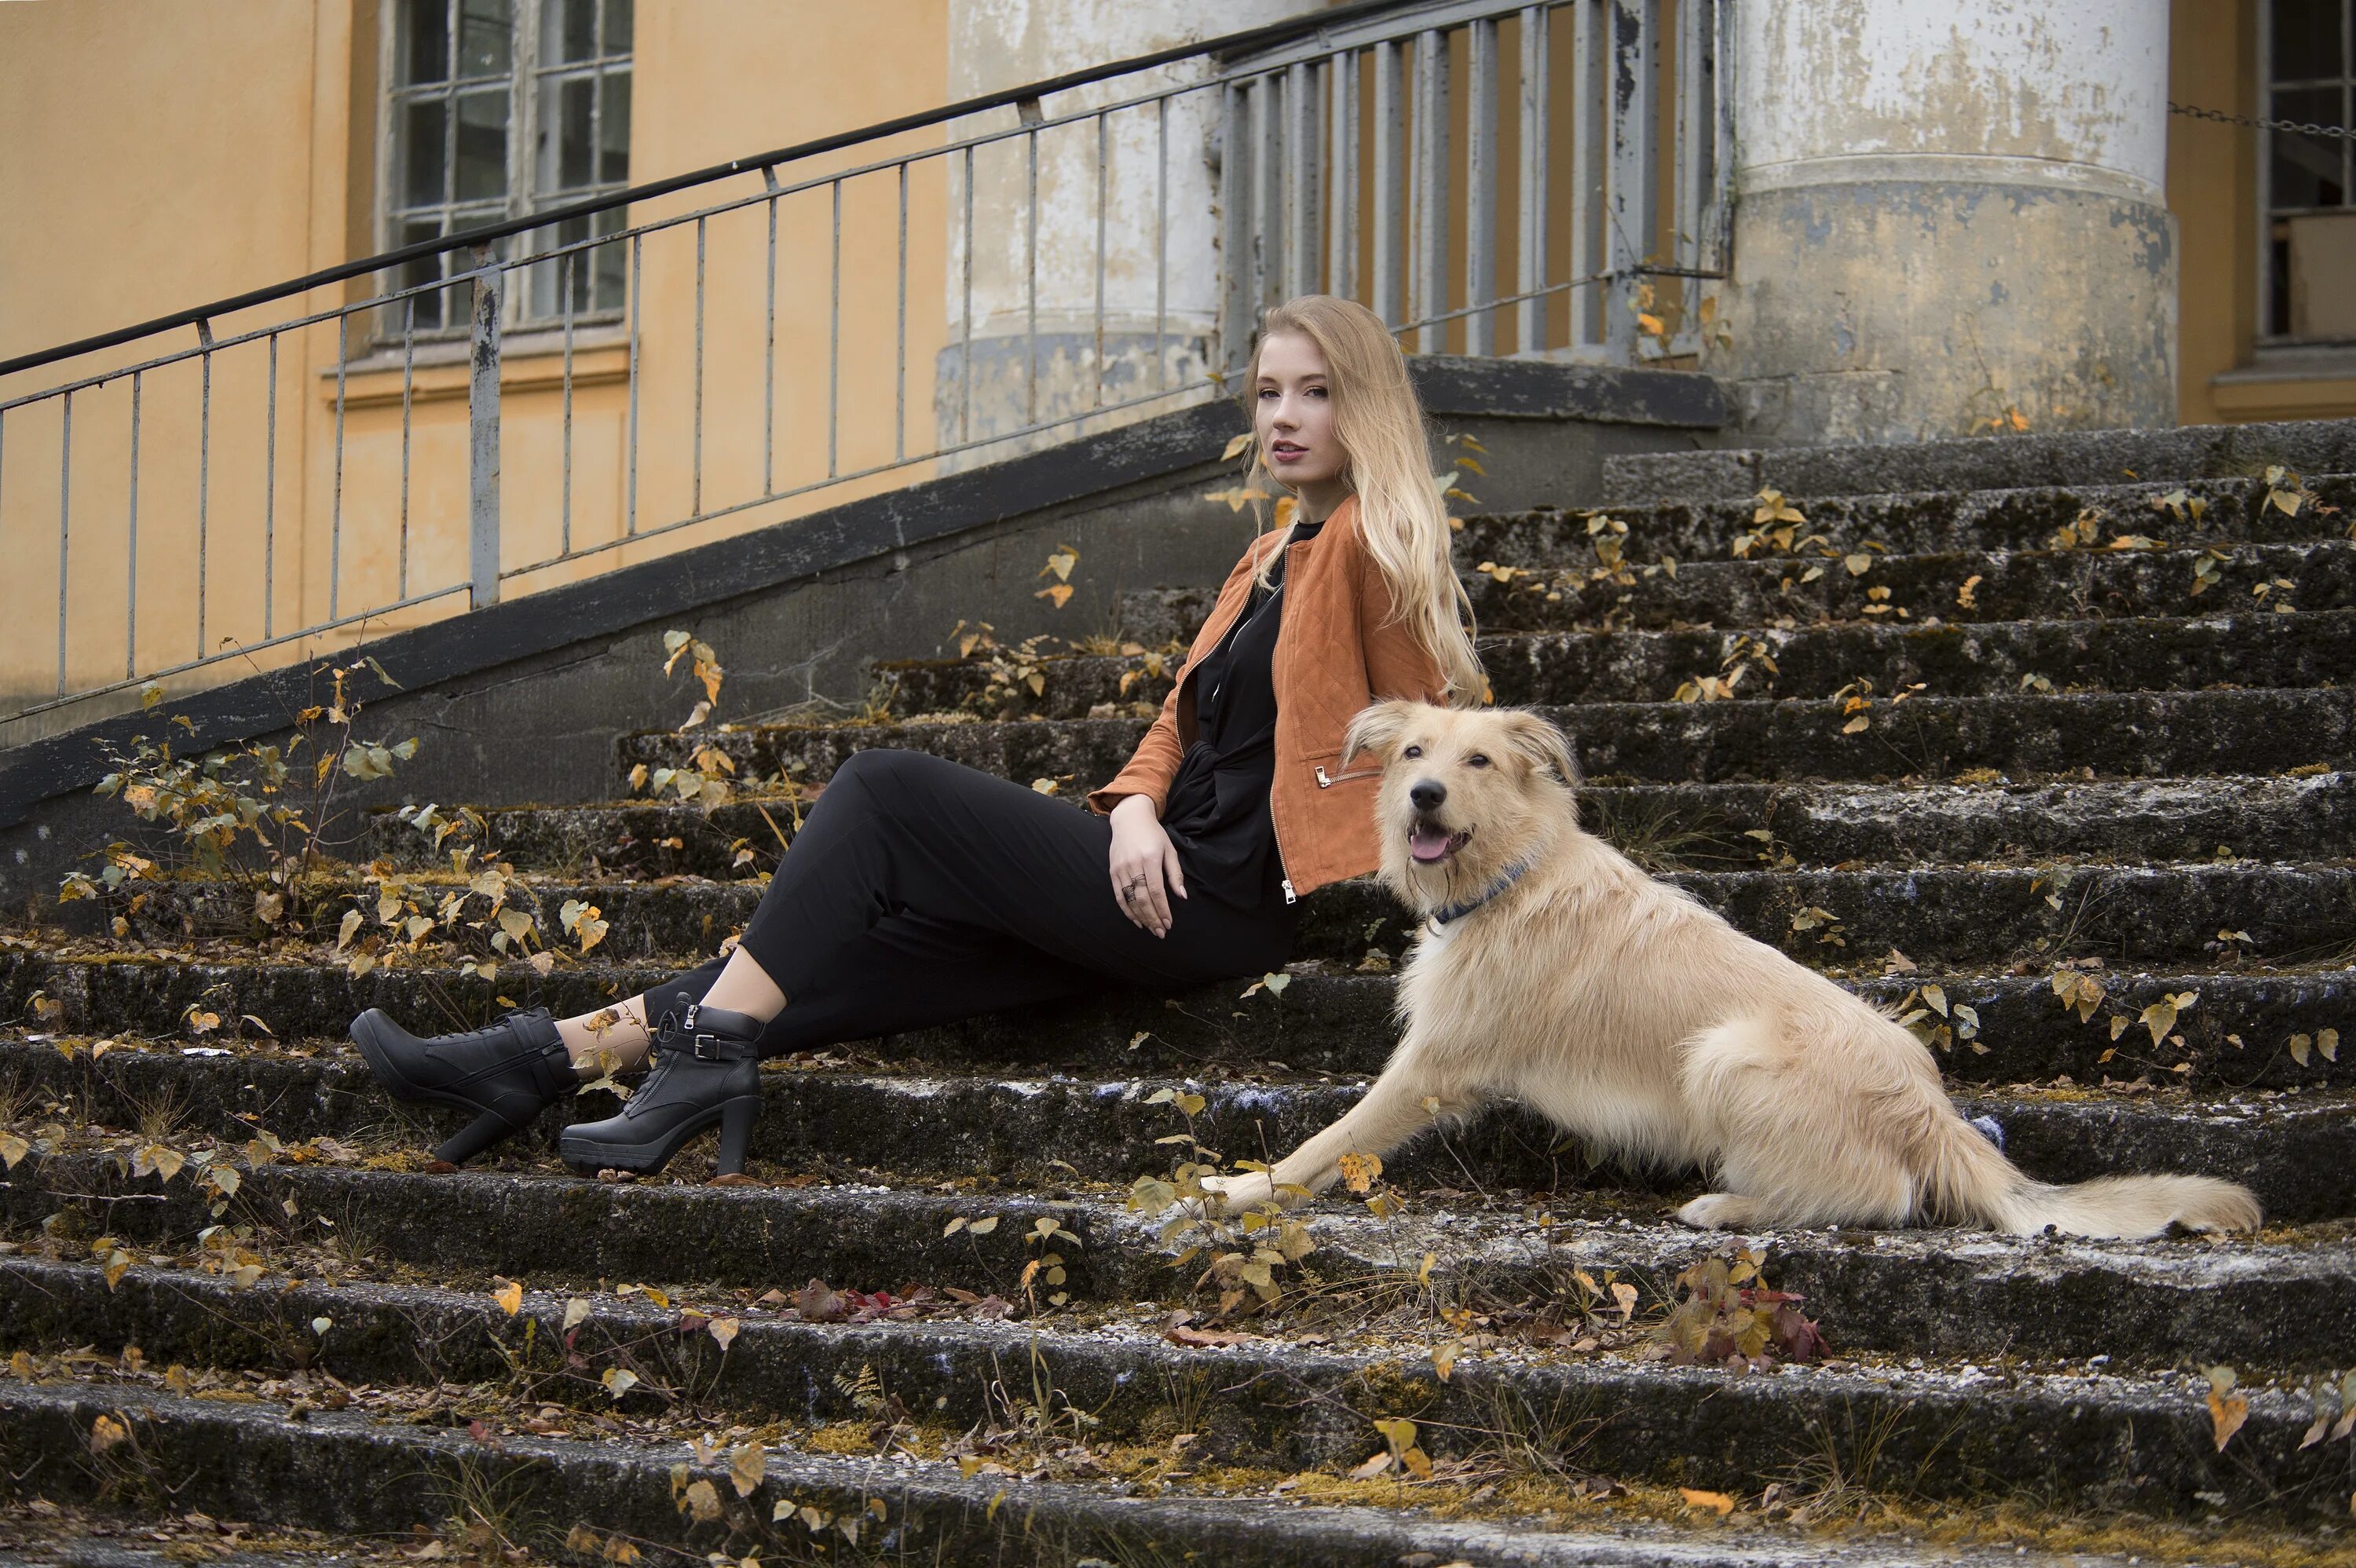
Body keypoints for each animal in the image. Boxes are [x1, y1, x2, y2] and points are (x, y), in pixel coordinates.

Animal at [1206, 696, 2252, 1234]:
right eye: (1415, 752)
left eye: (1479, 762)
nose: (1423, 794)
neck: (1514, 874)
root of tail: (1934, 1112)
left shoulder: (1432, 1066)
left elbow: (1326, 1142)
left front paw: (1238, 1190)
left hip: (1724, 1054)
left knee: (1881, 1198)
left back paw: (1726, 1204)